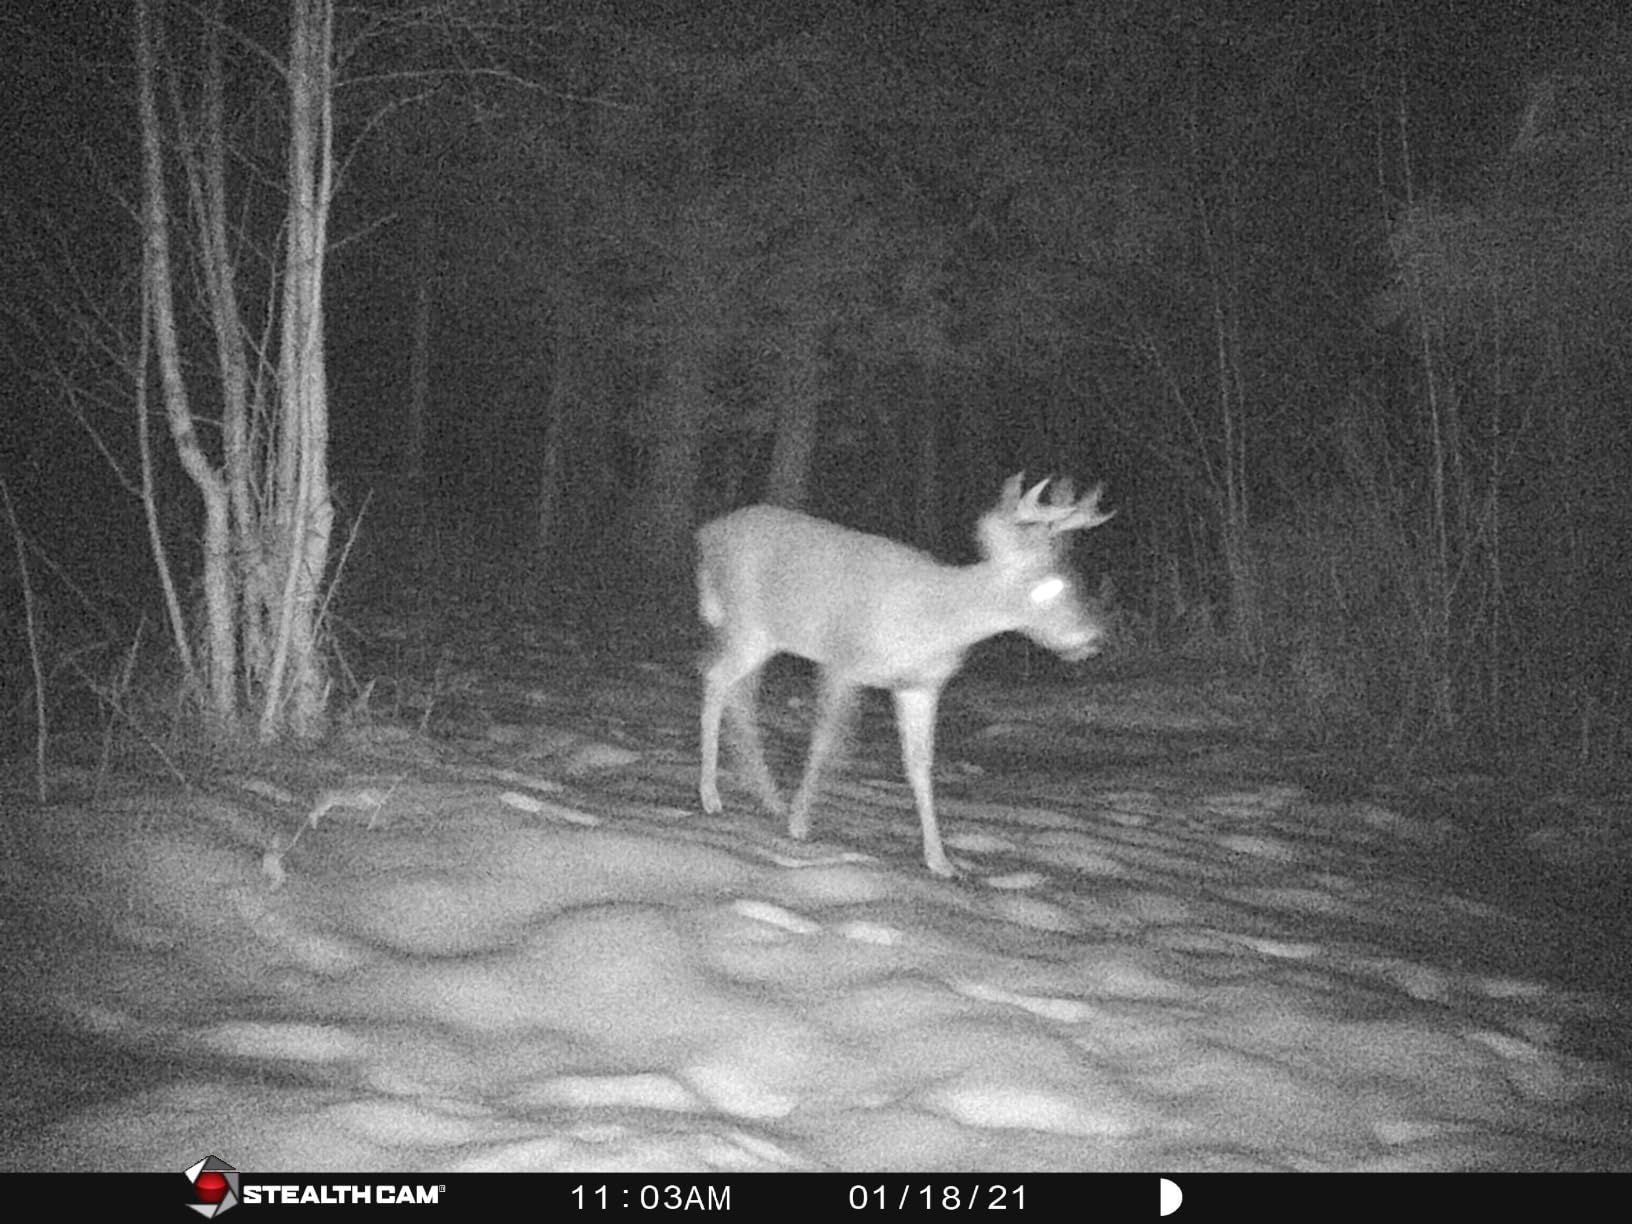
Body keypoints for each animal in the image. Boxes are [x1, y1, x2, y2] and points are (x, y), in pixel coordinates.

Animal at [695, 474, 1114, 877]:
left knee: (740, 697)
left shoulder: (920, 686)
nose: (1094, 638)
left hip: (762, 640)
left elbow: (919, 764)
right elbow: (825, 742)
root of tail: (708, 536)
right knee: (715, 678)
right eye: (1051, 586)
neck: (934, 618)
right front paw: (800, 823)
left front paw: (940, 861)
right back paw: (711, 796)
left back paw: (768, 798)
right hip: (749, 625)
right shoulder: (843, 660)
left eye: (1075, 578)